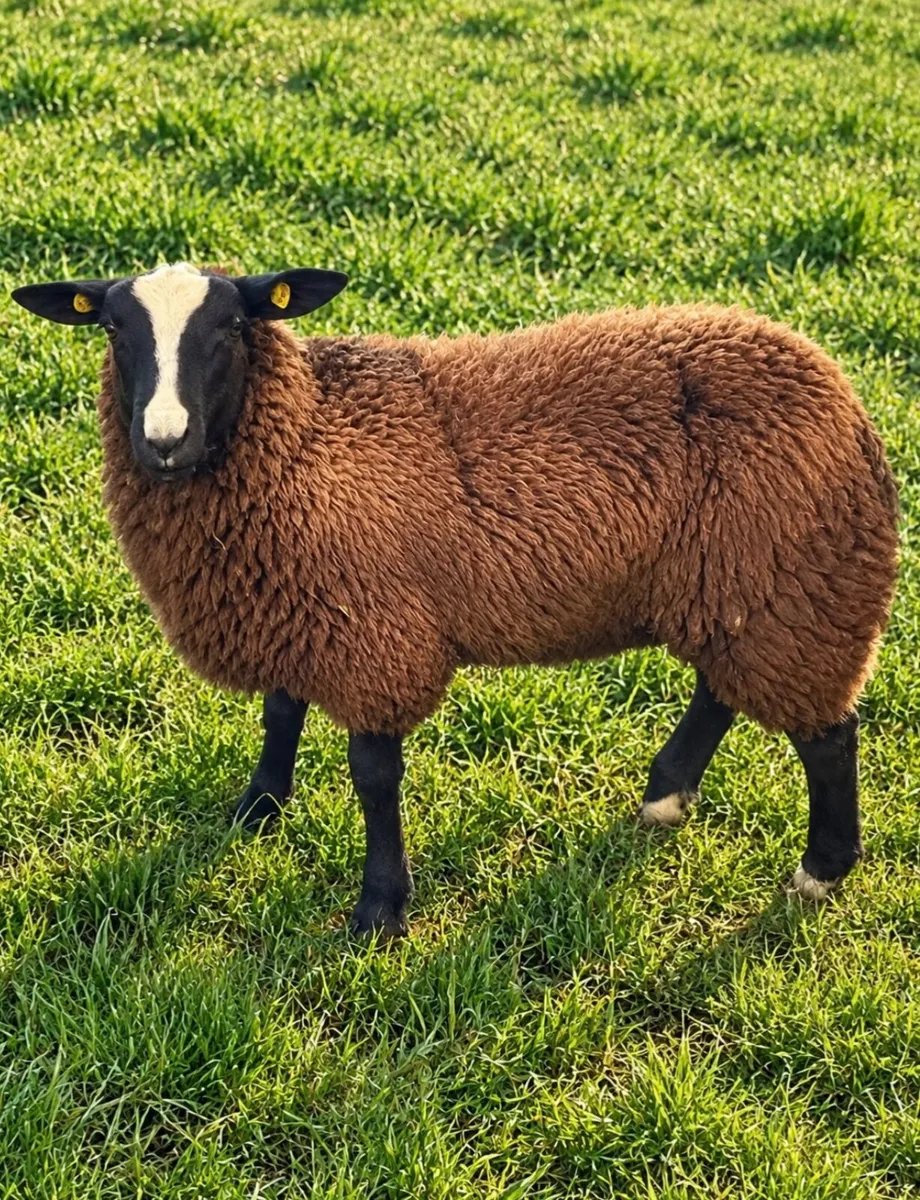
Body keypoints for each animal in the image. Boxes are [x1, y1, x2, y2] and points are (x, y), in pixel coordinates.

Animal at [12, 263, 899, 937]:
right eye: (113, 329)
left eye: (231, 326)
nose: (163, 443)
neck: (309, 438)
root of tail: (839, 390)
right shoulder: (296, 600)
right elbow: (280, 711)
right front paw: (258, 808)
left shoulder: (372, 635)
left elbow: (373, 775)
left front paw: (379, 909)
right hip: (739, 586)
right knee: (720, 688)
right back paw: (665, 798)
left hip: (795, 581)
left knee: (828, 734)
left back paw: (820, 870)